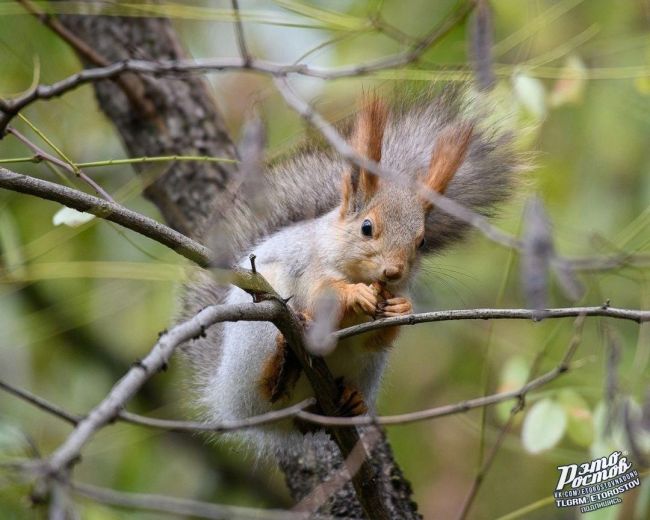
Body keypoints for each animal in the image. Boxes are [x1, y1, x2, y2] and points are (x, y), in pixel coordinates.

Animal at [180, 87, 520, 458]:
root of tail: (227, 399)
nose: (393, 271)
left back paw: (348, 401)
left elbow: (376, 336)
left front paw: (401, 308)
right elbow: (319, 297)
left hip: (365, 369)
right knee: (263, 390)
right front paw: (354, 294)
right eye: (367, 227)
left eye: (422, 241)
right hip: (256, 337)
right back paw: (278, 370)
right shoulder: (311, 267)